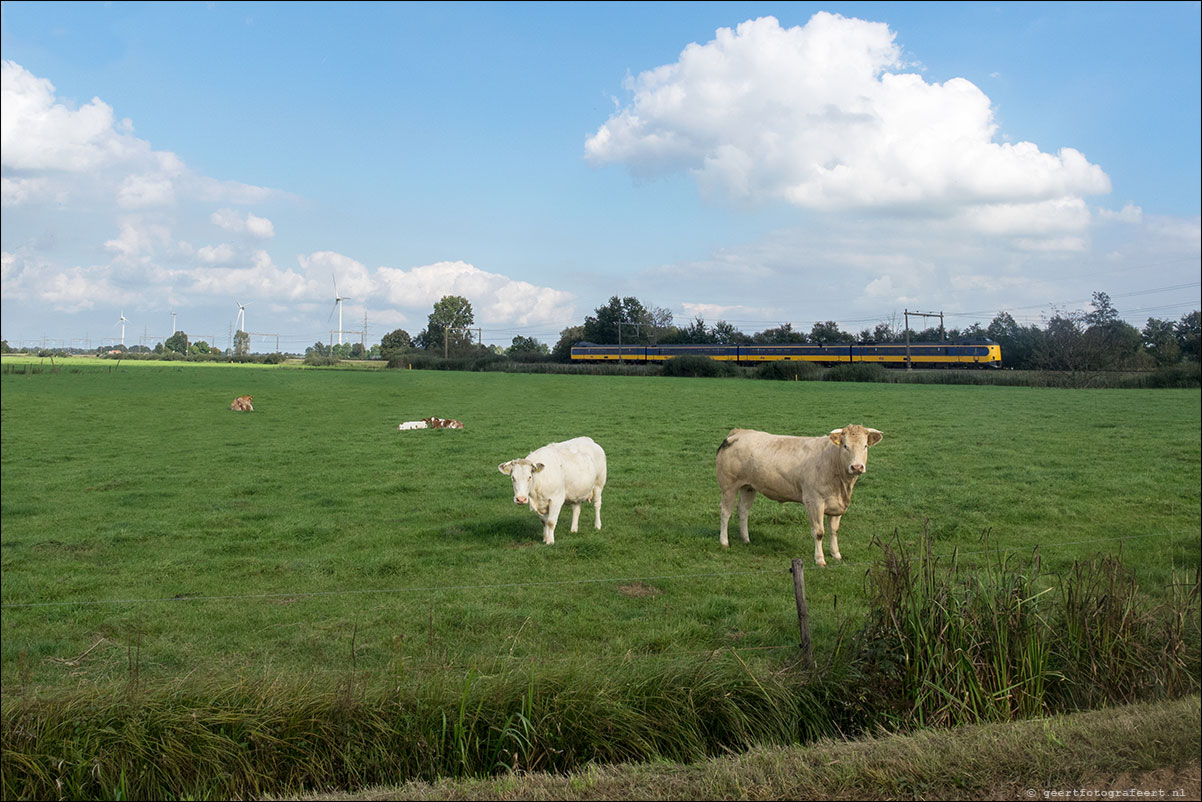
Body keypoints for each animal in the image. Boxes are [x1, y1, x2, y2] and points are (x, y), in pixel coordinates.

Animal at [711, 423, 884, 567]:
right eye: (845, 446)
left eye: (865, 446)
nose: (857, 467)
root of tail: (738, 432)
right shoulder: (814, 501)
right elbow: (819, 532)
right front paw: (820, 560)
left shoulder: (836, 504)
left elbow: (834, 531)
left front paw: (836, 555)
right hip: (729, 486)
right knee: (725, 512)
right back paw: (724, 541)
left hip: (748, 487)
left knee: (743, 511)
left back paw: (746, 539)